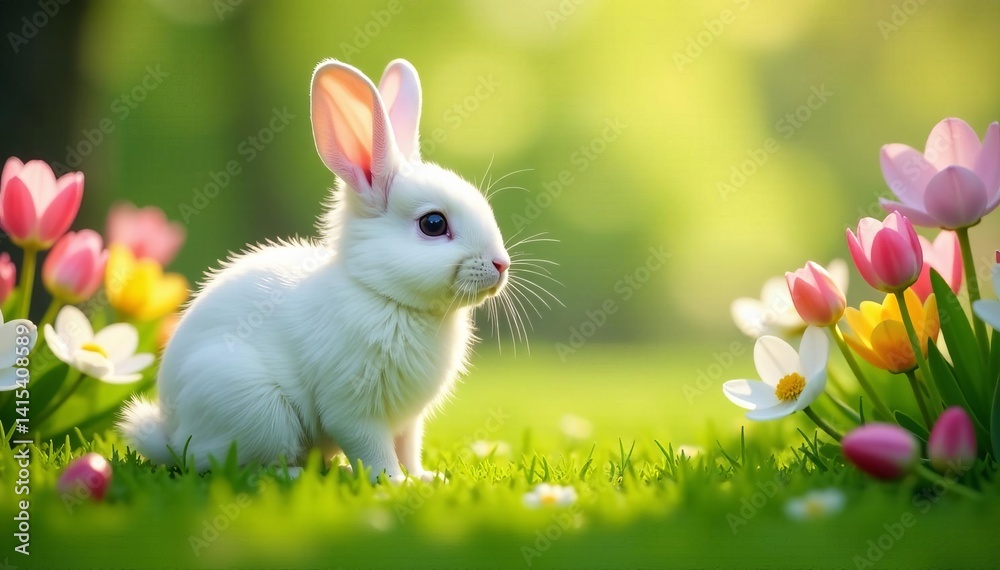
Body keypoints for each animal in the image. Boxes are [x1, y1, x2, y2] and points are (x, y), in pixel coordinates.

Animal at [118, 58, 511, 482]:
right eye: (434, 224)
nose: (501, 264)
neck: (384, 296)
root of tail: (170, 434)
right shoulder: (353, 409)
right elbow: (375, 451)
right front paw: (391, 484)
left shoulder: (408, 420)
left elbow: (408, 448)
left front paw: (424, 479)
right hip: (257, 410)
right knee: (224, 465)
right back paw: (296, 475)